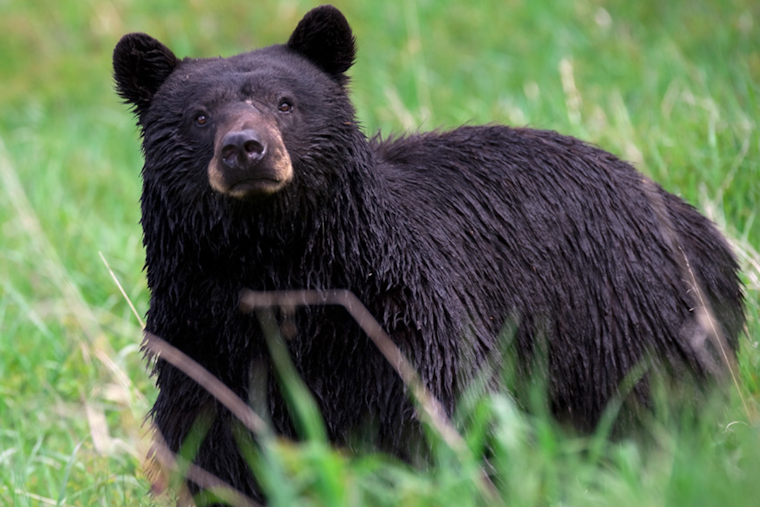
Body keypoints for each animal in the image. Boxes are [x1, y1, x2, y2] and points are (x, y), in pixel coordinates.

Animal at [113, 4, 744, 502]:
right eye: (198, 116)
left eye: (286, 104)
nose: (246, 149)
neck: (275, 264)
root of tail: (698, 226)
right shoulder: (202, 342)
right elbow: (219, 449)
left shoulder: (398, 323)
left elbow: (440, 419)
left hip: (627, 321)